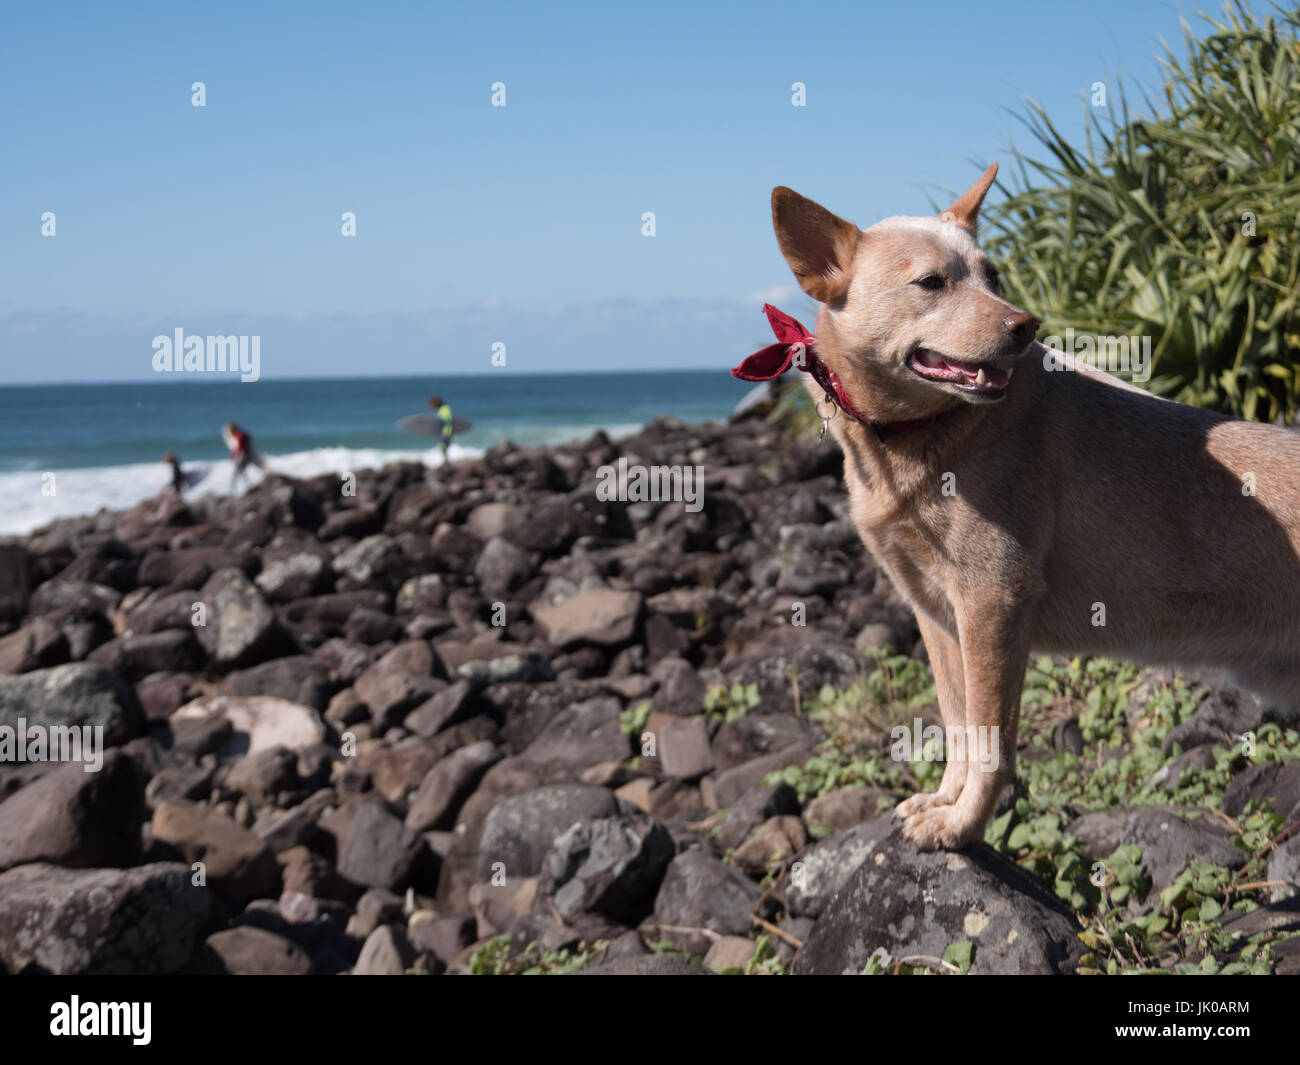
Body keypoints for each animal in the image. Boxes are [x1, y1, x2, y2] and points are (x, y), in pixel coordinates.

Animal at [743, 164, 1300, 847]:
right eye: (931, 282)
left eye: (995, 276)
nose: (1025, 325)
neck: (918, 437)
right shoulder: (937, 611)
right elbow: (958, 722)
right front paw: (945, 800)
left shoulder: (994, 600)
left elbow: (989, 740)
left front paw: (963, 824)